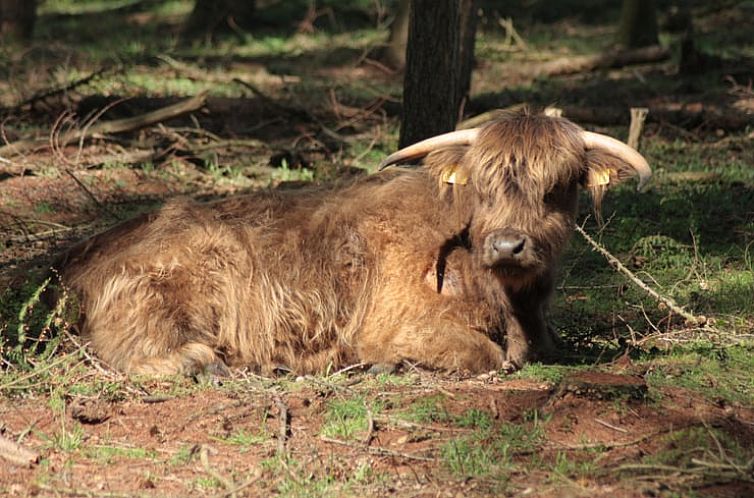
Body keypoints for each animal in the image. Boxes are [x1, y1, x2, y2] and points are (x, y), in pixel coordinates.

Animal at [57, 109, 648, 374]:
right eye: (481, 184)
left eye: (558, 185)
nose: (507, 245)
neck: (514, 300)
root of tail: (77, 259)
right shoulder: (401, 325)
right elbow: (489, 355)